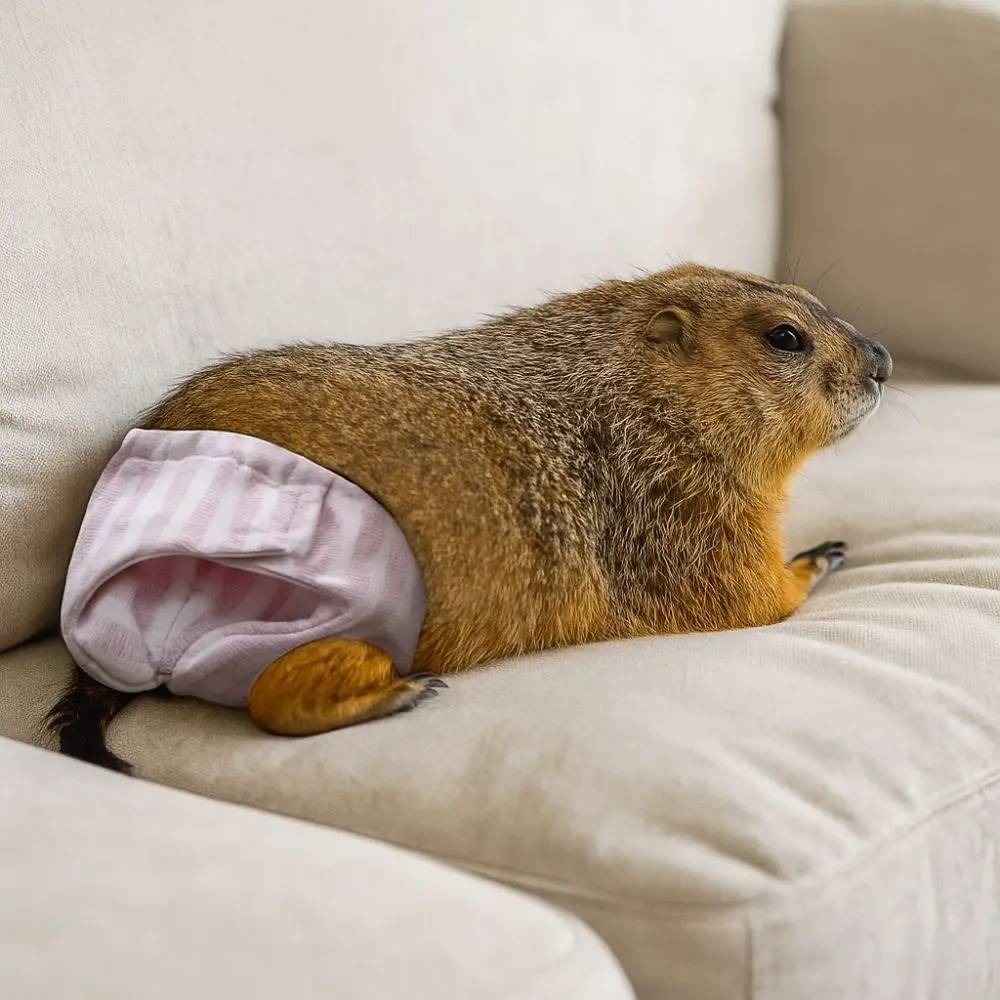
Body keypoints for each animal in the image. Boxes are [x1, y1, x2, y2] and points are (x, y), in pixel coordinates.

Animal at [46, 263, 892, 772]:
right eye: (785, 335)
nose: (883, 359)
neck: (637, 387)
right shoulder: (687, 501)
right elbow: (743, 590)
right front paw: (818, 555)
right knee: (270, 695)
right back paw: (397, 694)